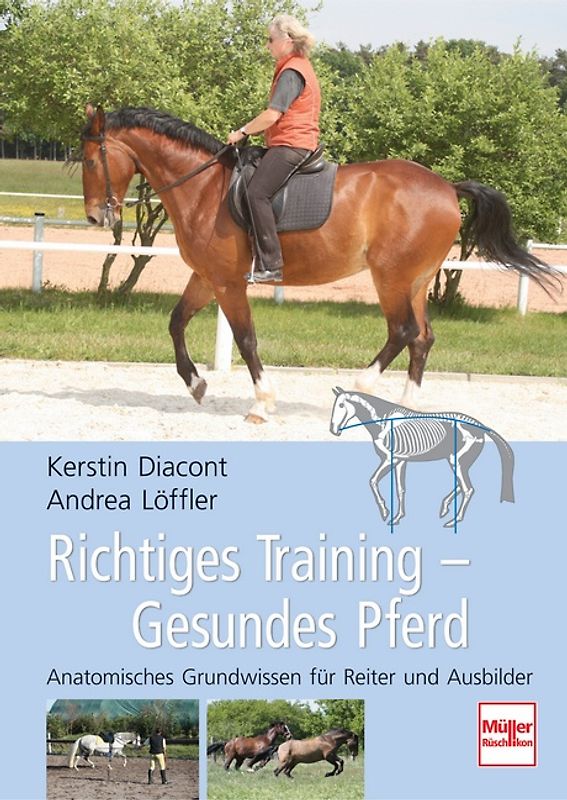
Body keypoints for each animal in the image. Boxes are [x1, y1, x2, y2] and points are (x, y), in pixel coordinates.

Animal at [80, 105, 558, 422]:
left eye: (87, 159)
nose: (96, 218)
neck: (204, 188)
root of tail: (446, 185)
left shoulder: (229, 283)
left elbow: (246, 339)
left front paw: (261, 403)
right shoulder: (208, 276)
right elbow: (176, 322)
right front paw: (196, 383)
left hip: (391, 277)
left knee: (403, 331)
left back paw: (363, 388)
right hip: (417, 280)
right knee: (422, 338)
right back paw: (405, 405)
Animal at [329, 387, 514, 527]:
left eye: (341, 405)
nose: (333, 430)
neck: (383, 422)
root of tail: (480, 425)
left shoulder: (390, 460)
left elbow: (373, 481)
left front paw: (385, 513)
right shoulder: (400, 460)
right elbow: (400, 489)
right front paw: (397, 518)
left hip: (458, 462)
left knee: (467, 489)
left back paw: (453, 521)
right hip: (459, 462)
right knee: (462, 486)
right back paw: (444, 509)